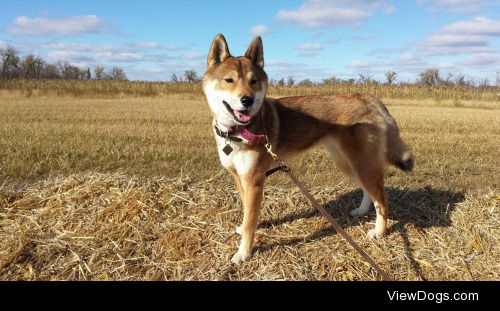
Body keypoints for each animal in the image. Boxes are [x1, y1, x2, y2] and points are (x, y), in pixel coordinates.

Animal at [202, 34, 414, 264]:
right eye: (229, 80)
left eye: (253, 81)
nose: (247, 100)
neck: (236, 132)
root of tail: (370, 99)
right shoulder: (240, 177)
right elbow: (247, 213)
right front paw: (243, 229)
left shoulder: (255, 180)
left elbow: (251, 222)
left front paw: (243, 253)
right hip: (349, 165)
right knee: (370, 193)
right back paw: (361, 211)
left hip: (361, 165)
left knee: (382, 200)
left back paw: (379, 232)